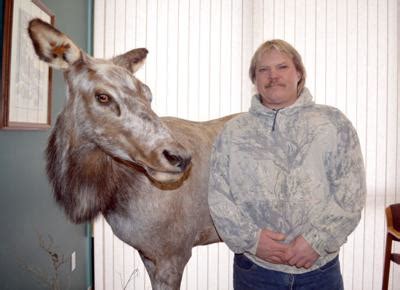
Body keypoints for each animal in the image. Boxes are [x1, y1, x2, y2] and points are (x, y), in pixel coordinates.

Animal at [28, 19, 238, 288]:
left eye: (148, 94)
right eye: (102, 96)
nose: (179, 158)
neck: (115, 195)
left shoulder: (175, 252)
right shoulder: (148, 253)